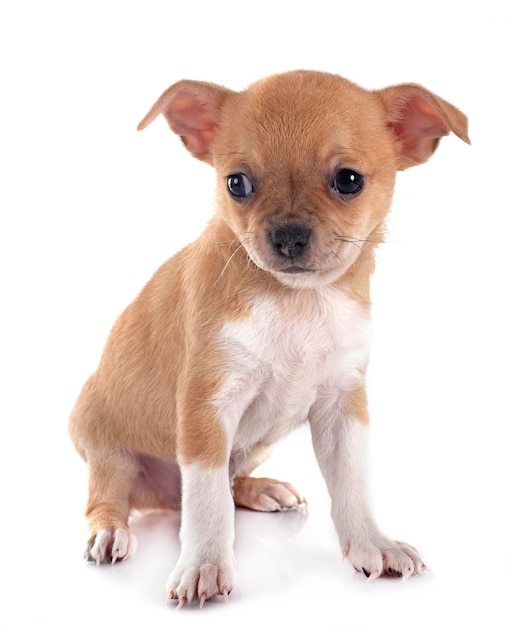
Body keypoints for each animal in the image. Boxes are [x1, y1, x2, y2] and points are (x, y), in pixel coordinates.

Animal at [69, 69, 472, 604]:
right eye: (236, 183)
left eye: (349, 180)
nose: (288, 236)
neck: (297, 302)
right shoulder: (207, 409)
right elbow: (207, 501)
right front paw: (204, 564)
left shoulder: (342, 409)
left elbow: (351, 485)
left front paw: (372, 543)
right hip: (108, 450)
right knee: (113, 495)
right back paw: (111, 530)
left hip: (250, 447)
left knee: (221, 483)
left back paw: (259, 489)